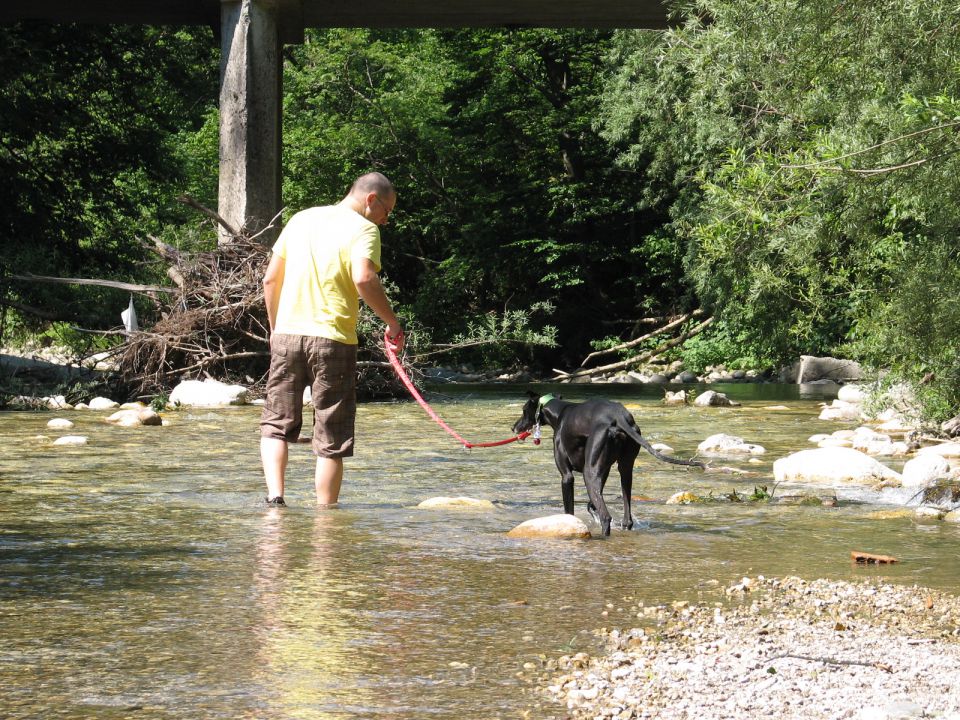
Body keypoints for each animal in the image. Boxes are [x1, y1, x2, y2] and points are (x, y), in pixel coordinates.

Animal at [510, 394, 704, 536]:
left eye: (524, 410)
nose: (514, 428)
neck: (561, 413)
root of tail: (619, 415)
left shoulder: (567, 476)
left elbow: (570, 510)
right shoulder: (603, 472)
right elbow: (591, 503)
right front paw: (591, 508)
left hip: (589, 473)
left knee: (605, 517)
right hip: (625, 470)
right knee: (627, 517)